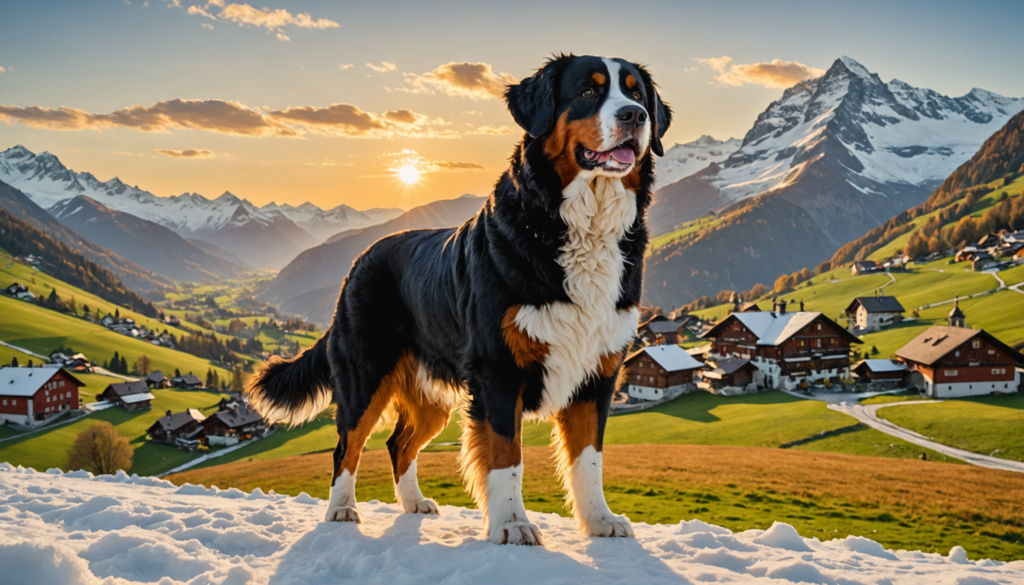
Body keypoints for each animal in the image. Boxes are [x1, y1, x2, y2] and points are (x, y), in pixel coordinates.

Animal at [247, 53, 671, 545]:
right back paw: (341, 509)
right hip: (365, 376)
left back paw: (413, 503)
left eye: (637, 94)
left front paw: (599, 520)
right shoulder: (498, 372)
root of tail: (360, 259)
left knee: (398, 443)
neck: (580, 226)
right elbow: (506, 457)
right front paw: (511, 524)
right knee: (346, 447)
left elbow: (589, 459)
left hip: (431, 398)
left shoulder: (597, 374)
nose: (635, 117)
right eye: (588, 91)